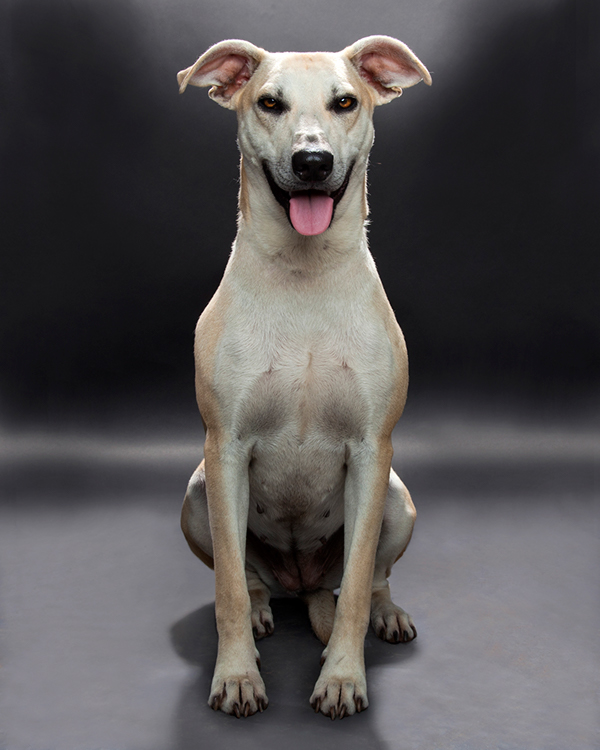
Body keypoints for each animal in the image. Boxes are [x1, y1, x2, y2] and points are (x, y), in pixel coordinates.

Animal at [177, 35, 431, 719]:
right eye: (270, 103)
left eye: (345, 102)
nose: (312, 161)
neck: (304, 274)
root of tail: (302, 582)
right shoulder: (225, 449)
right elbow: (228, 585)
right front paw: (237, 675)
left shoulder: (371, 452)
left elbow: (360, 577)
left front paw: (343, 677)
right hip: (196, 494)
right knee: (248, 577)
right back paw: (263, 607)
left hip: (398, 498)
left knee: (369, 580)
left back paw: (385, 611)